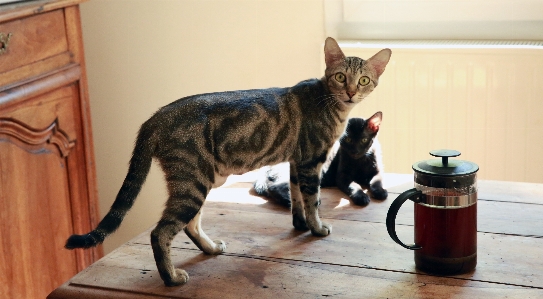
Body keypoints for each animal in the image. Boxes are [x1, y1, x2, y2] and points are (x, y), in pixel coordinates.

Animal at [255, 111, 386, 207]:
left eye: (364, 140)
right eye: (348, 140)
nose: (355, 151)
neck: (360, 161)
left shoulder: (378, 171)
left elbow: (376, 181)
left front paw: (380, 192)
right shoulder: (342, 176)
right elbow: (354, 185)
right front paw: (361, 197)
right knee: (274, 187)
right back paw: (289, 201)